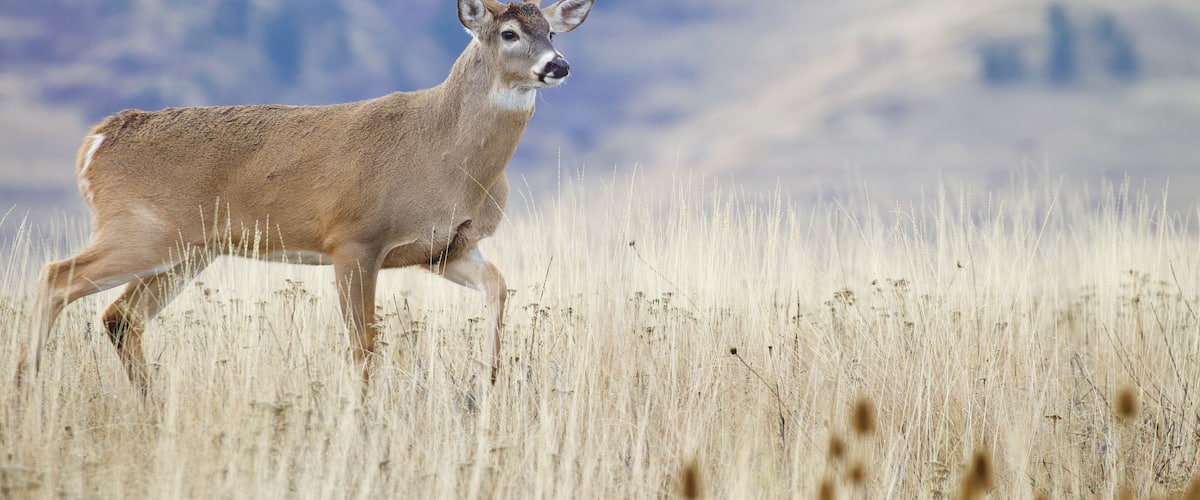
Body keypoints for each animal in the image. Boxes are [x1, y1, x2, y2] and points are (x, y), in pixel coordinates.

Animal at [25, 0, 595, 395]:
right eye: (510, 33)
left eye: (550, 30)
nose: (559, 65)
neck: (448, 157)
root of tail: (97, 142)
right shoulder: (354, 238)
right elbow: (363, 343)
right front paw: (362, 414)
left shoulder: (444, 249)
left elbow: (499, 288)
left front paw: (492, 378)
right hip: (140, 228)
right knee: (57, 277)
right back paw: (27, 388)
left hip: (188, 249)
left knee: (121, 317)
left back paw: (151, 404)